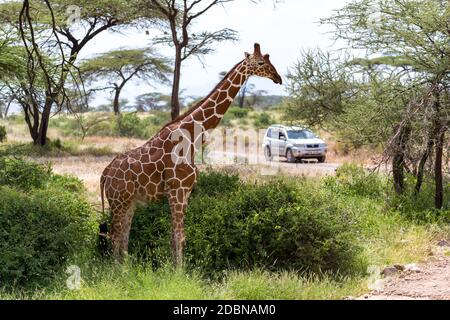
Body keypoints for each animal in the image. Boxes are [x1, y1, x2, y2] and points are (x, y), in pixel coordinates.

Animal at [101, 43, 282, 264]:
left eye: (269, 59)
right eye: (261, 62)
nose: (278, 78)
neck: (192, 137)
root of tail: (105, 174)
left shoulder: (186, 191)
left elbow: (174, 236)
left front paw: (174, 268)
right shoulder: (176, 190)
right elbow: (179, 236)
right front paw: (179, 271)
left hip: (129, 201)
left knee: (123, 234)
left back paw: (124, 267)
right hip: (118, 200)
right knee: (114, 234)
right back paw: (115, 269)